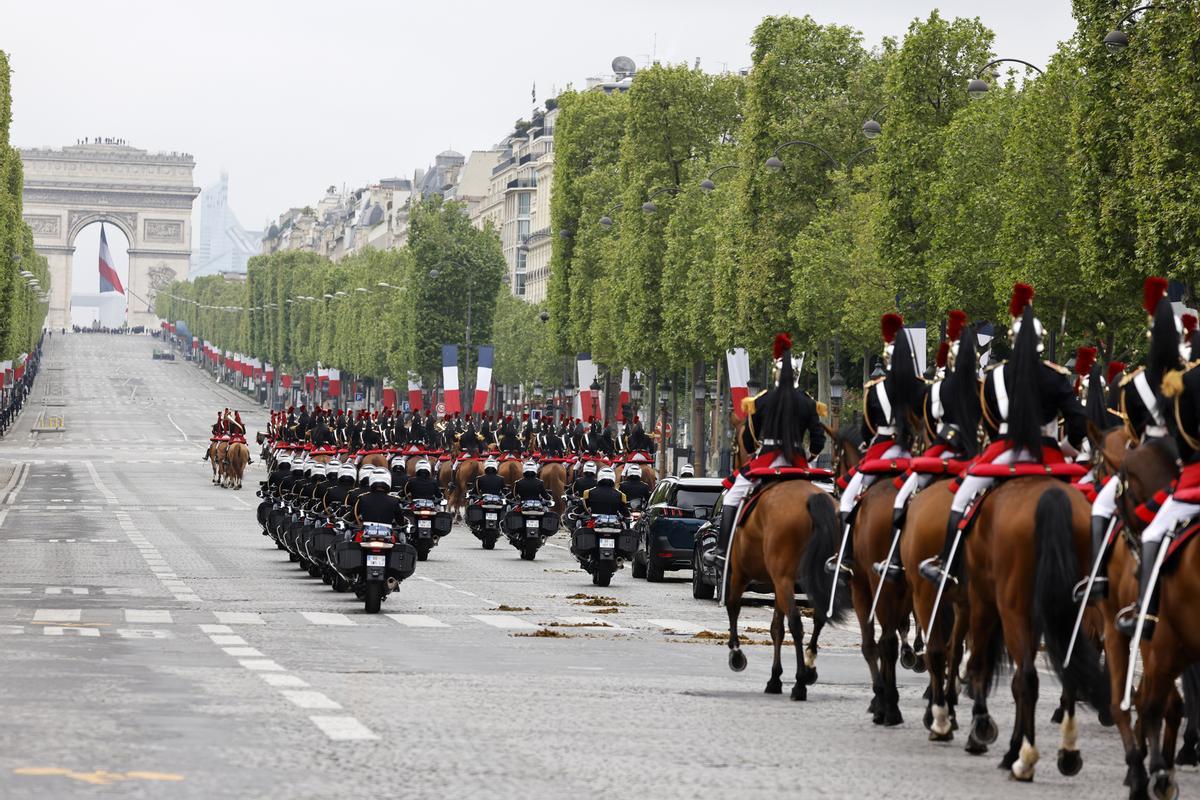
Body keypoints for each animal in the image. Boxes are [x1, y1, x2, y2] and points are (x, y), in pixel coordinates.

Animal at [955, 482, 1104, 782]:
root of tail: (1053, 495)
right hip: (1072, 611)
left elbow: (980, 664)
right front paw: (1012, 744)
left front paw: (981, 728)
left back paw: (1025, 761)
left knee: (1027, 678)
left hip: (1012, 609)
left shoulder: (983, 600)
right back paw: (1067, 752)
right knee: (1068, 672)